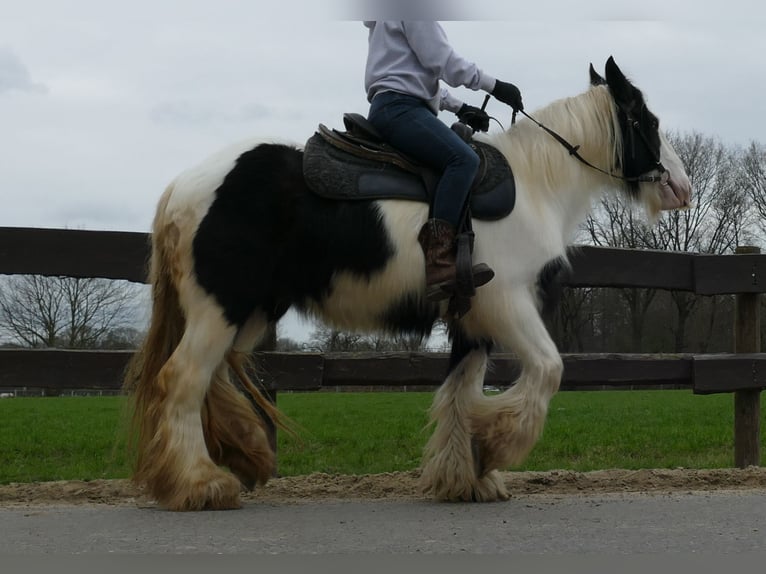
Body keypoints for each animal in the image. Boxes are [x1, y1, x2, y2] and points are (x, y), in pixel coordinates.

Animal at [123, 56, 692, 510]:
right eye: (647, 119)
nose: (681, 188)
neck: (535, 185)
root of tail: (184, 185)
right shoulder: (507, 302)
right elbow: (548, 370)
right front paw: (495, 446)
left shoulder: (472, 321)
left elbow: (460, 392)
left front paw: (466, 478)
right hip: (221, 307)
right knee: (182, 380)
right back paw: (200, 484)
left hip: (249, 311)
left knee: (213, 379)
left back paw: (244, 455)